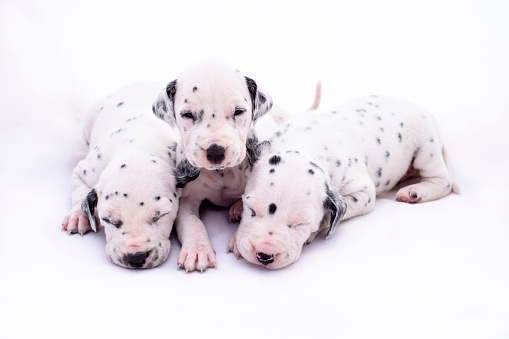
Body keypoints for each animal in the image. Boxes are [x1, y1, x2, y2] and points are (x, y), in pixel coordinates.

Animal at [59, 81, 194, 270]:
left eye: (160, 215)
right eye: (108, 220)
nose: (136, 257)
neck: (137, 145)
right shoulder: (84, 171)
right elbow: (79, 190)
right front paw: (78, 217)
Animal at [228, 95, 458, 270]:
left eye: (302, 223)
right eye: (251, 208)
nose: (264, 254)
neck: (307, 143)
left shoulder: (363, 193)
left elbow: (328, 217)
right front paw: (237, 212)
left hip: (426, 147)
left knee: (443, 180)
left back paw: (416, 192)